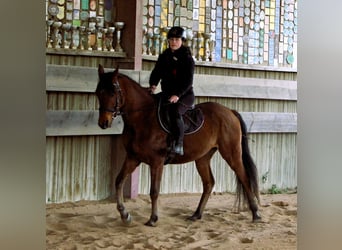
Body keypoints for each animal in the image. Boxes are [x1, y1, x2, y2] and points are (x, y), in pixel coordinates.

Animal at [95, 64, 260, 227]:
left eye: (112, 93)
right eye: (98, 93)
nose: (103, 123)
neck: (143, 118)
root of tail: (230, 112)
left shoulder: (157, 161)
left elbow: (154, 191)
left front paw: (153, 219)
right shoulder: (133, 158)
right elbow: (119, 181)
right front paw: (125, 215)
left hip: (231, 154)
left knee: (244, 177)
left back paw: (256, 214)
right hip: (202, 158)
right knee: (209, 183)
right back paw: (196, 214)